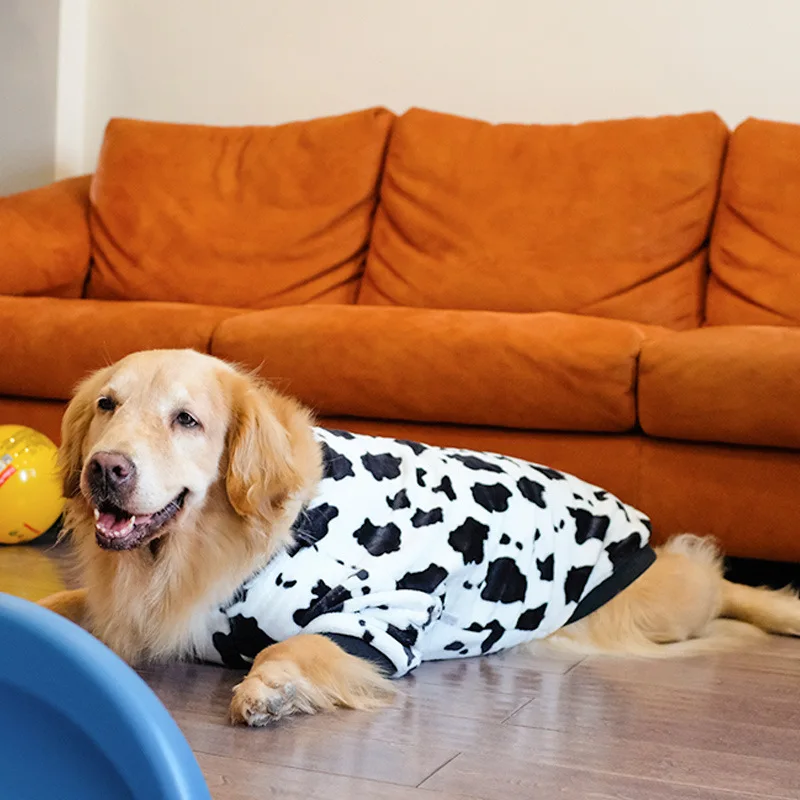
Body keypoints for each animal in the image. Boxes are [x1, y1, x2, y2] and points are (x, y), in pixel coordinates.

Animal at [39, 350, 800, 724]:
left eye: (187, 420)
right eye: (107, 404)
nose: (105, 469)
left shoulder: (380, 619)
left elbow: (288, 647)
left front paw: (270, 692)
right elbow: (62, 606)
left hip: (655, 602)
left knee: (713, 577)